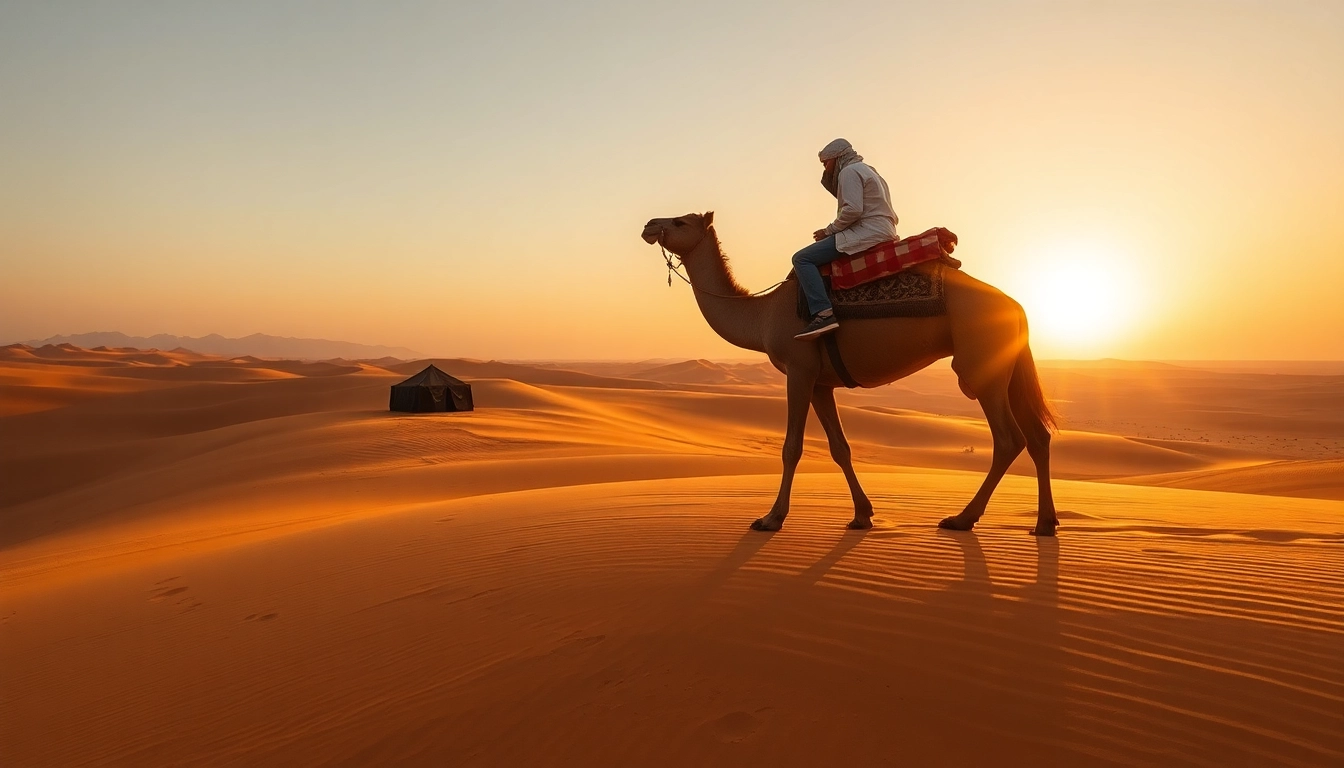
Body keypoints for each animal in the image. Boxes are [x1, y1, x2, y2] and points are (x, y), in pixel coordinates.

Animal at [640, 211, 1059, 536]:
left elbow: (791, 447)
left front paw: (771, 518)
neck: (762, 315)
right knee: (1038, 436)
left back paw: (961, 519)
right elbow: (840, 448)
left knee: (1008, 439)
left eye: (679, 221)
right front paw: (862, 516)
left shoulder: (798, 369)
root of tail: (1017, 306)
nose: (648, 225)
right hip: (1007, 367)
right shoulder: (821, 382)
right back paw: (1045, 524)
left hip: (981, 368)